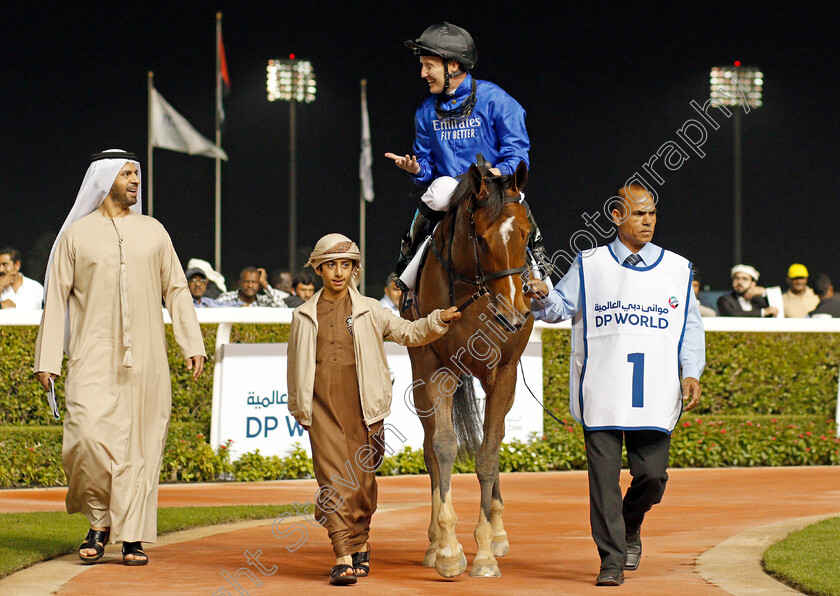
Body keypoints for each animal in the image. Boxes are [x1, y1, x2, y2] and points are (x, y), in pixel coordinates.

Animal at [402, 158, 532, 576]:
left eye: (527, 234)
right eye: (483, 239)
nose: (513, 314)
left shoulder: (504, 371)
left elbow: (488, 453)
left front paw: (486, 550)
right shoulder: (433, 366)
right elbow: (443, 447)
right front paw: (448, 548)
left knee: (497, 436)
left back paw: (499, 531)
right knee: (430, 447)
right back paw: (433, 544)